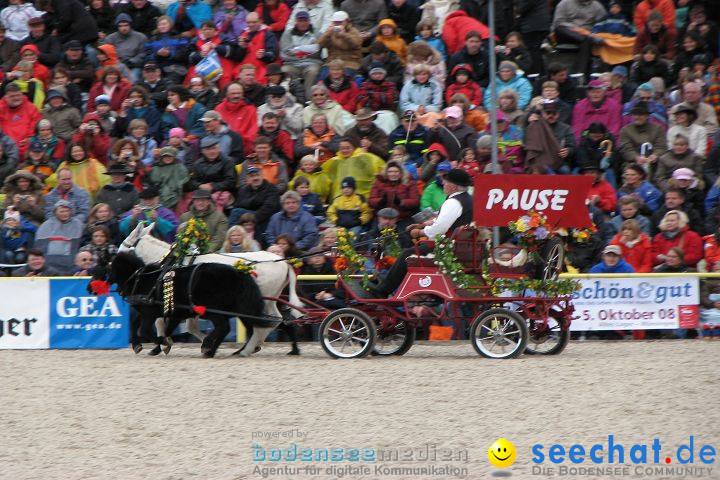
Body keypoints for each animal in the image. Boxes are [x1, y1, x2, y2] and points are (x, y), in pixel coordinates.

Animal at [94, 253, 274, 358]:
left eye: (106, 267)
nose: (91, 288)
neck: (143, 280)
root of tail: (238, 272)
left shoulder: (150, 313)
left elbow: (145, 330)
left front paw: (163, 343)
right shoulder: (168, 313)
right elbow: (143, 325)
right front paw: (147, 346)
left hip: (213, 310)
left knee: (224, 328)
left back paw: (209, 347)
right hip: (236, 309)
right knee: (241, 328)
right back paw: (221, 349)